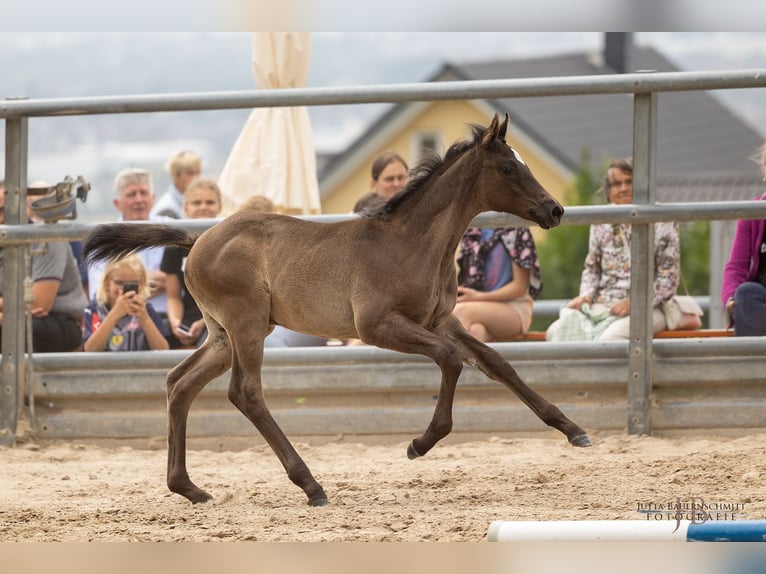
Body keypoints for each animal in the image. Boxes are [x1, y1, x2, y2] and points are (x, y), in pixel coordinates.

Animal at [87, 113, 596, 508]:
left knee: (180, 383)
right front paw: (420, 443)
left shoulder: (441, 320)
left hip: (222, 334)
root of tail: (196, 241)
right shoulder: (378, 326)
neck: (412, 242)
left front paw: (573, 429)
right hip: (246, 323)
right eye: (509, 167)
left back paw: (189, 488)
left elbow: (496, 362)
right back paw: (311, 485)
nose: (555, 210)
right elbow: (451, 360)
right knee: (245, 393)